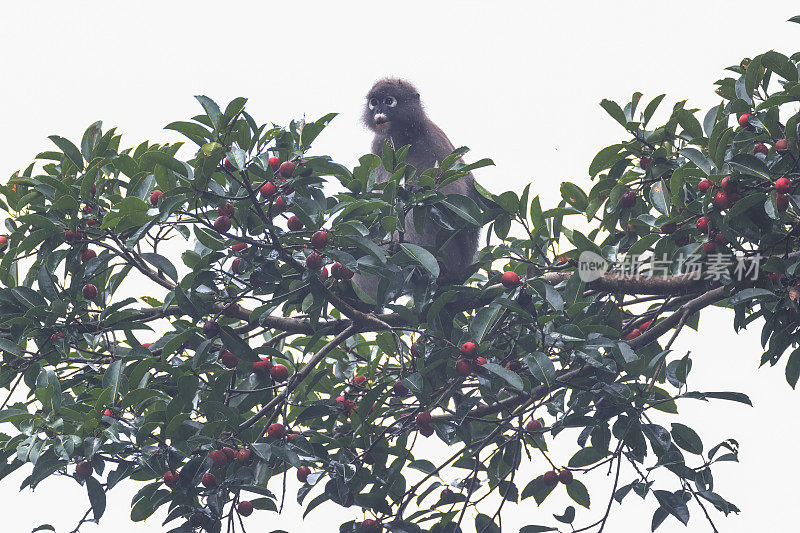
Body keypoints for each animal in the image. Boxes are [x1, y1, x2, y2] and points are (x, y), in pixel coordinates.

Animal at [354, 78, 482, 304]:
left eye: (389, 101)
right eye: (374, 102)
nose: (378, 110)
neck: (404, 135)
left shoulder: (432, 137)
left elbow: (455, 198)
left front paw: (414, 188)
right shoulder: (380, 145)